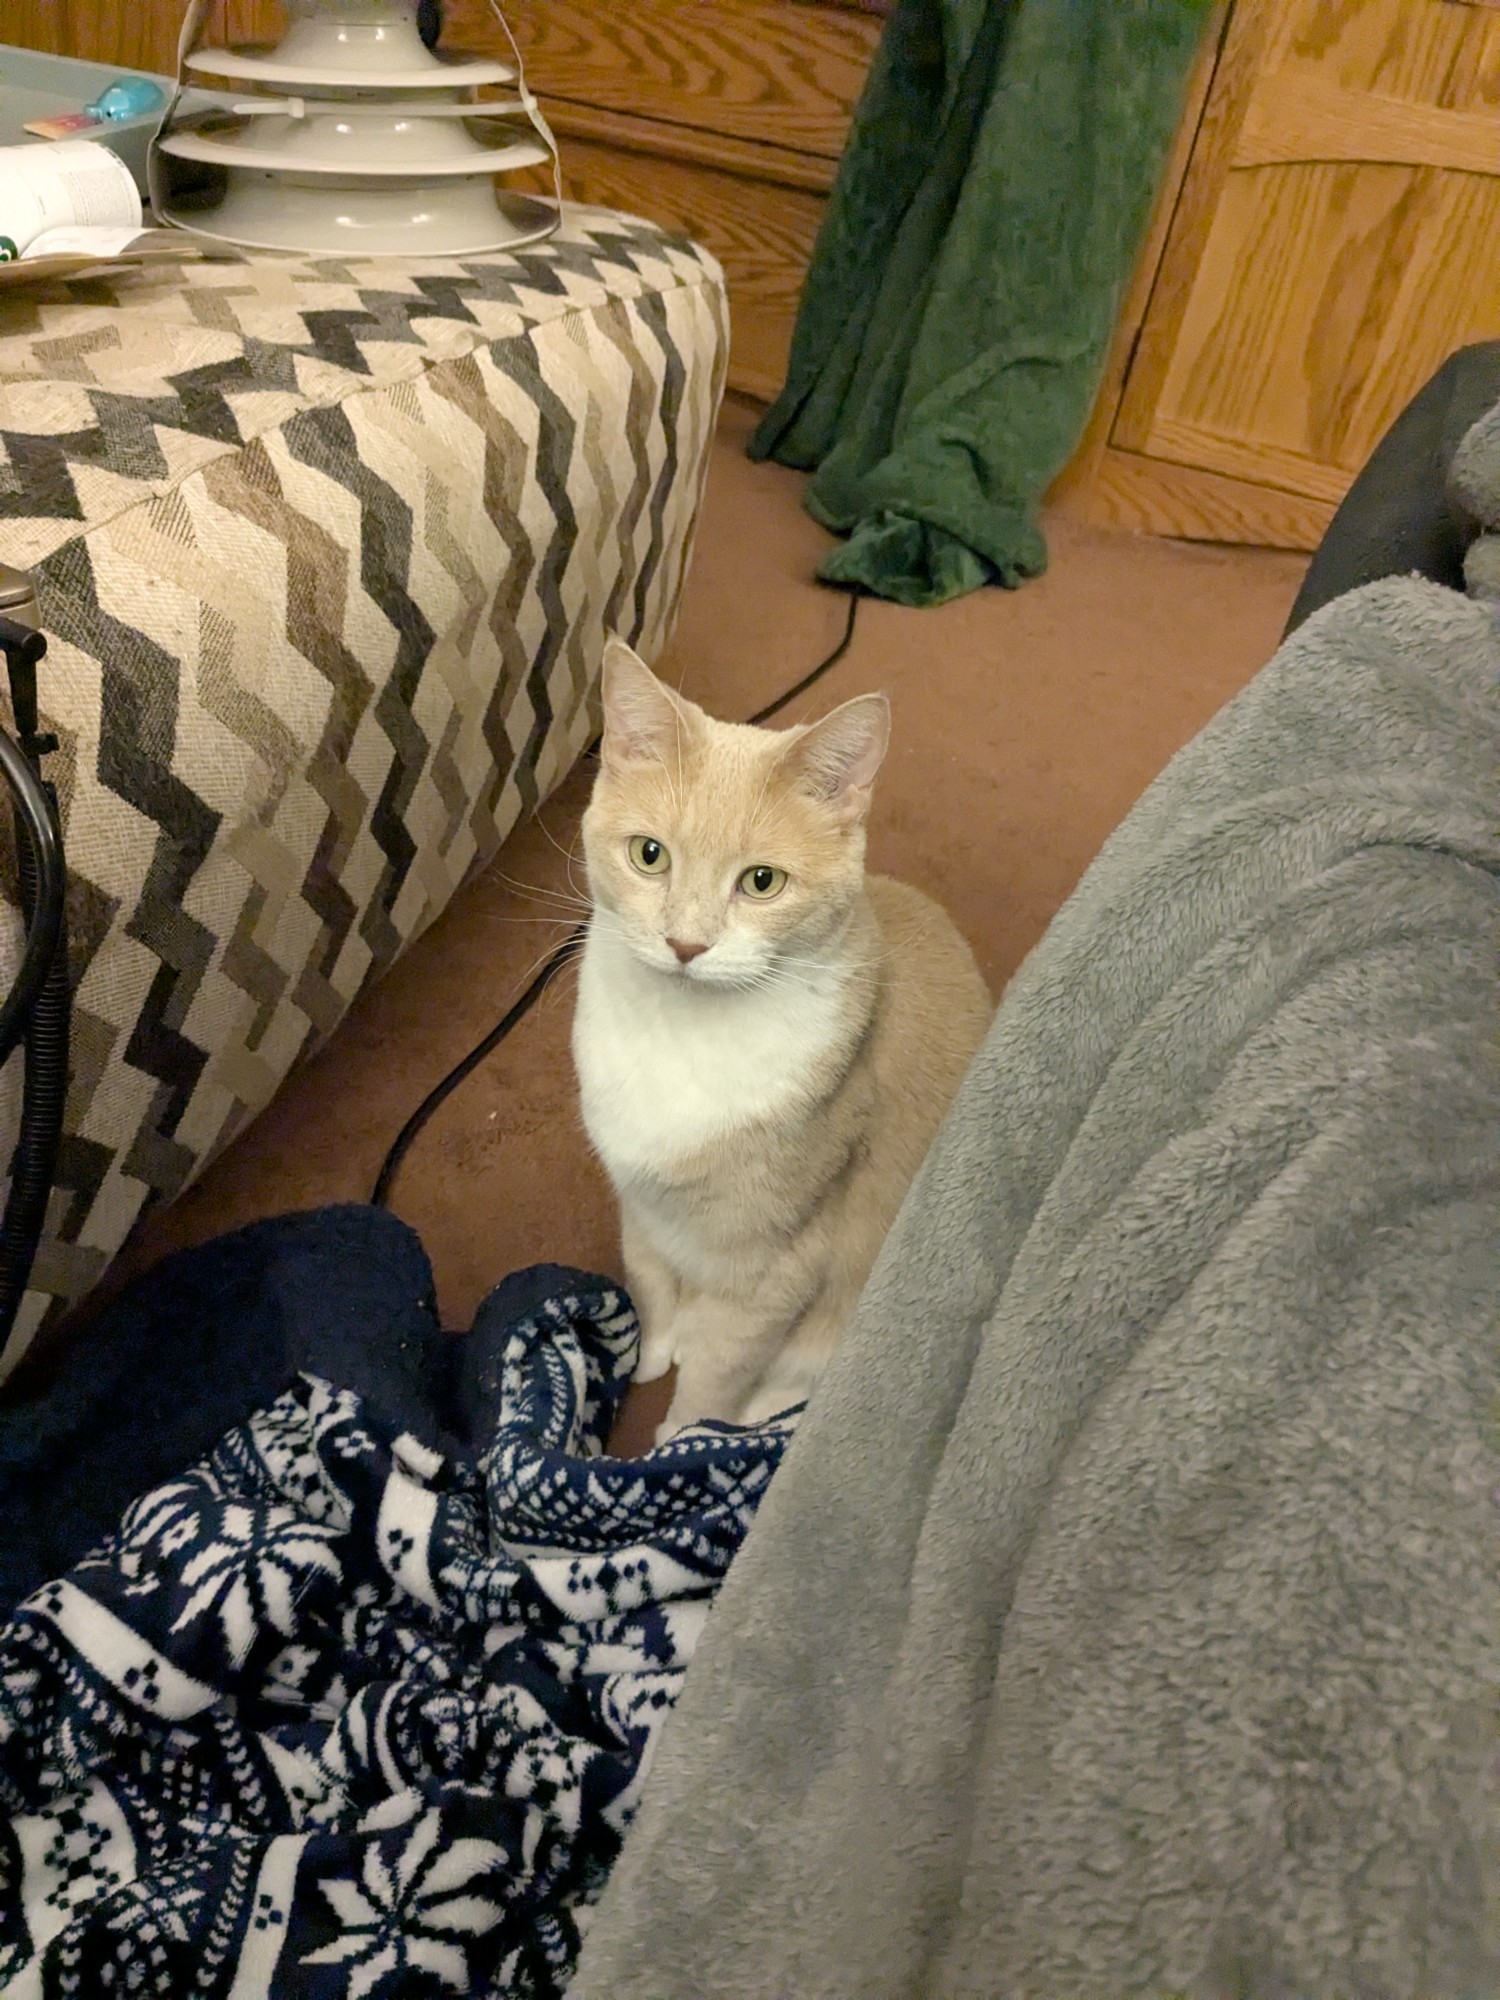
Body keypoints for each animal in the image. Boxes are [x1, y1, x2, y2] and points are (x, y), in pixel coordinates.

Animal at [572, 636, 992, 1439]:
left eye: (762, 882)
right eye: (648, 855)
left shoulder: (779, 1266)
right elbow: (648, 1282)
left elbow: (720, 1367)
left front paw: (681, 1434)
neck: (682, 1036)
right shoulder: (638, 1205)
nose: (685, 944)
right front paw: (651, 1352)